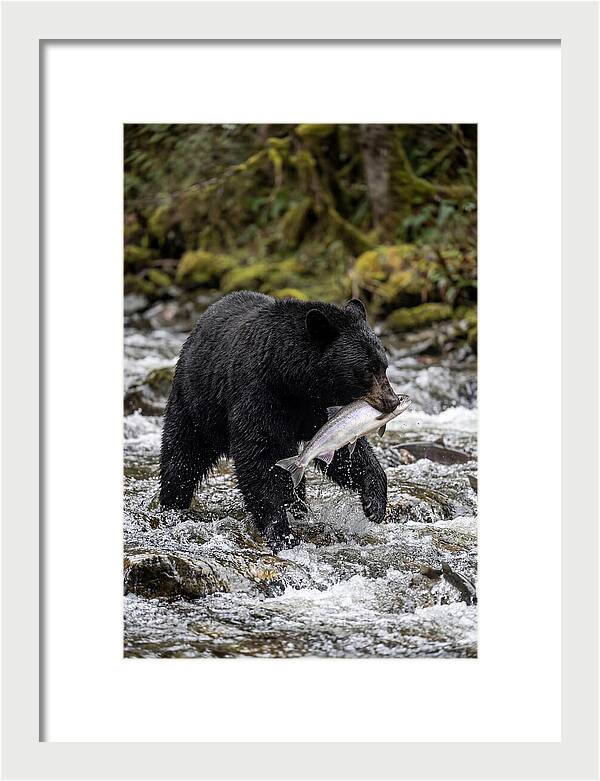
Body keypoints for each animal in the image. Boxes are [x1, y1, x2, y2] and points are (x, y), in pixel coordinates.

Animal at [159, 291, 400, 551]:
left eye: (384, 366)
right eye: (367, 369)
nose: (392, 401)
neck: (292, 379)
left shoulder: (319, 408)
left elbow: (343, 449)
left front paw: (374, 503)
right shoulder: (260, 393)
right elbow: (258, 455)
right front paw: (281, 531)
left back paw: (299, 508)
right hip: (196, 403)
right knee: (182, 455)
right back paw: (172, 505)